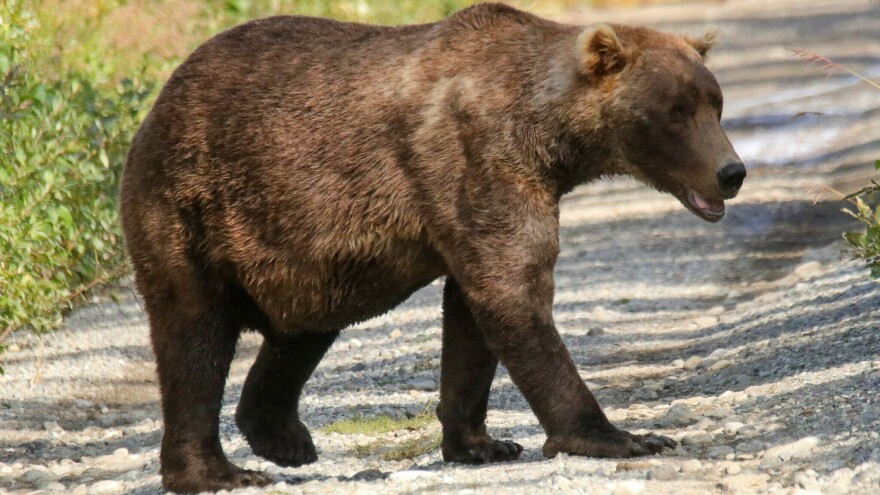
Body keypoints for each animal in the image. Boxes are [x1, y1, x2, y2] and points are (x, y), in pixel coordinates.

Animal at [120, 3, 745, 493]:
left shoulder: (486, 195)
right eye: (675, 111)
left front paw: (481, 443)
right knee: (193, 337)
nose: (732, 172)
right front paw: (623, 436)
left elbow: (473, 314)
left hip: (303, 253)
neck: (545, 135)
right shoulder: (478, 159)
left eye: (715, 103)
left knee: (303, 329)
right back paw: (217, 471)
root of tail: (159, 101)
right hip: (195, 207)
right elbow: (515, 292)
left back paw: (283, 437)